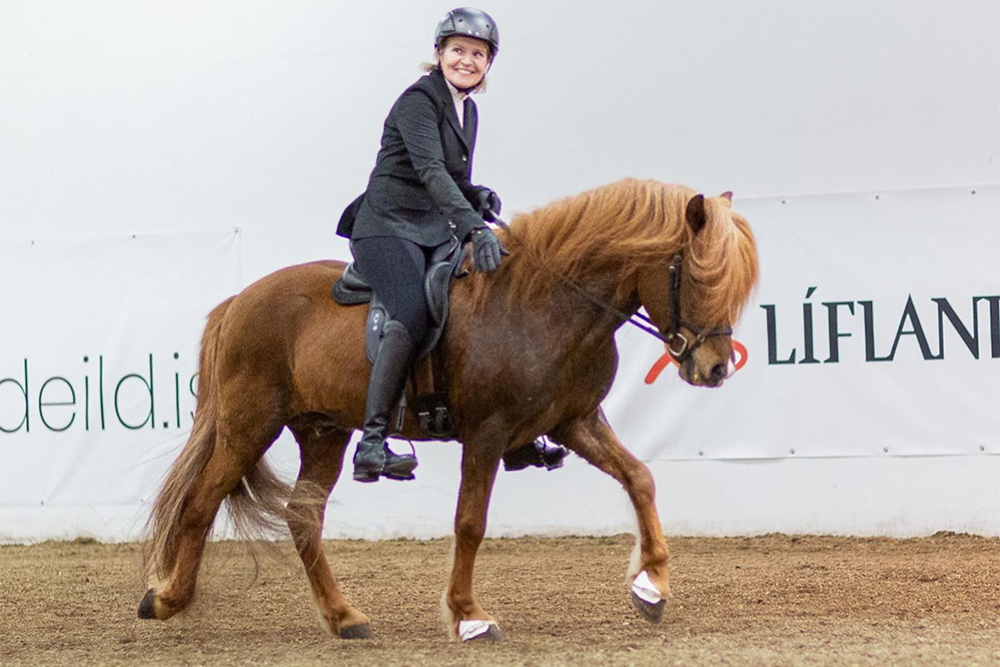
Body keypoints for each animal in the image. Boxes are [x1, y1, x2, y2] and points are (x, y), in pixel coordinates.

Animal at [139, 177, 756, 640]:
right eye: (696, 274)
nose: (716, 368)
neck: (546, 304)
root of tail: (238, 301)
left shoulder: (574, 421)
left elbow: (640, 477)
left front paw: (651, 587)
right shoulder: (486, 433)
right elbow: (469, 522)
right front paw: (468, 617)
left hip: (323, 432)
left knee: (302, 517)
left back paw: (344, 618)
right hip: (249, 424)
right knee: (200, 502)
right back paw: (166, 599)